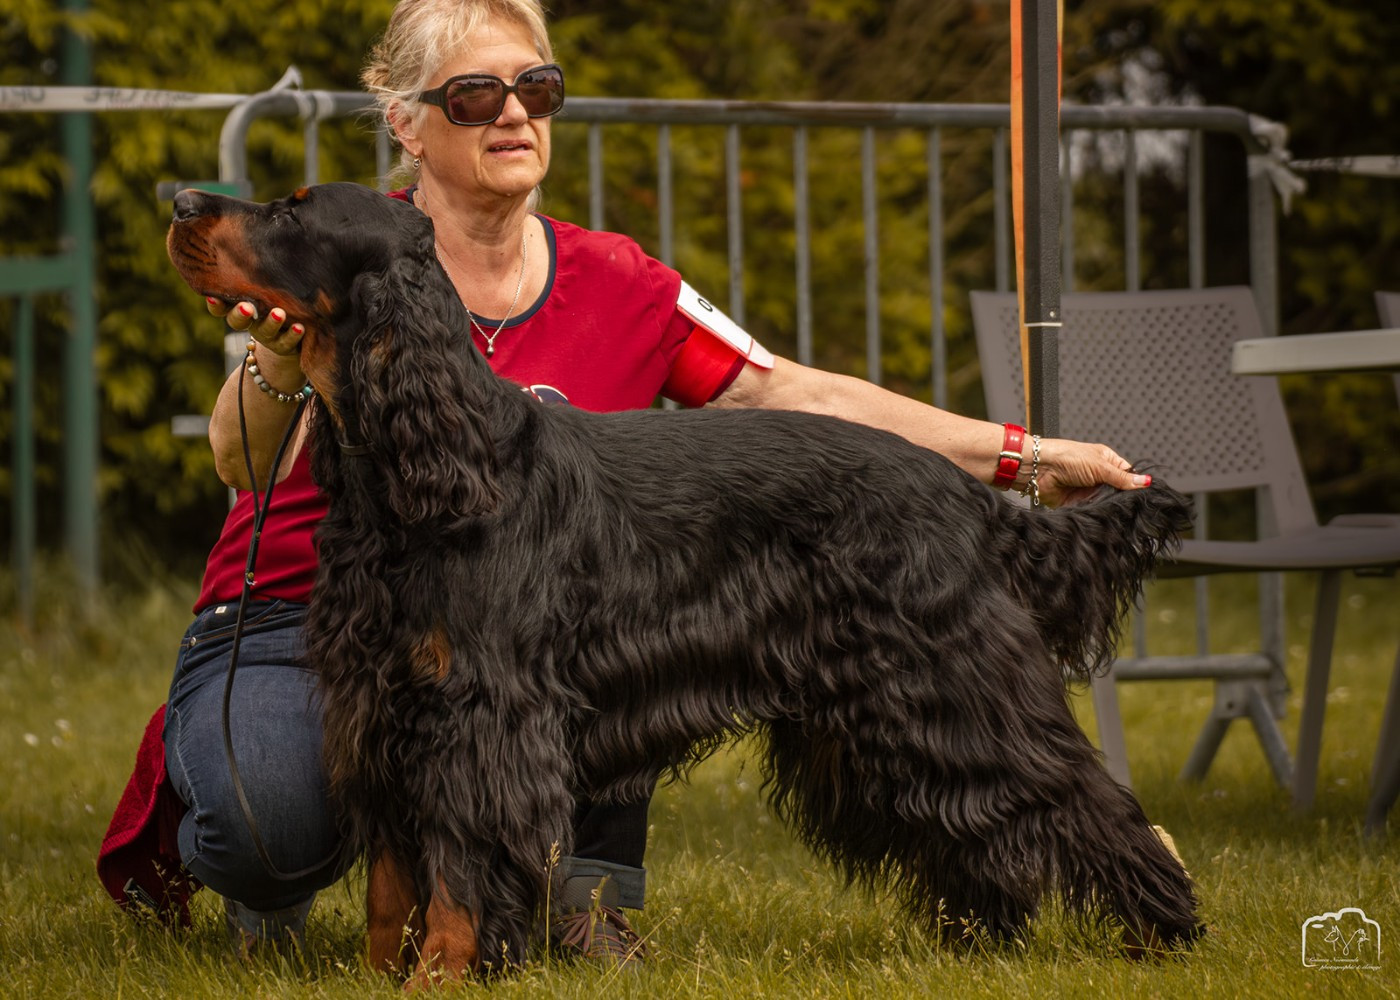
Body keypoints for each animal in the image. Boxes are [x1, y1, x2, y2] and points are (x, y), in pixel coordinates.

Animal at [168, 181, 1201, 982]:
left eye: (291, 212)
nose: (178, 202)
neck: (423, 472)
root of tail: (964, 494)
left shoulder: (479, 714)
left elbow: (458, 869)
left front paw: (441, 976)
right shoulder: (380, 702)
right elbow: (393, 880)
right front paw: (387, 975)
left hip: (954, 688)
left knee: (1082, 801)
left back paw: (1163, 932)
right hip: (879, 722)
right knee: (970, 823)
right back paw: (982, 944)